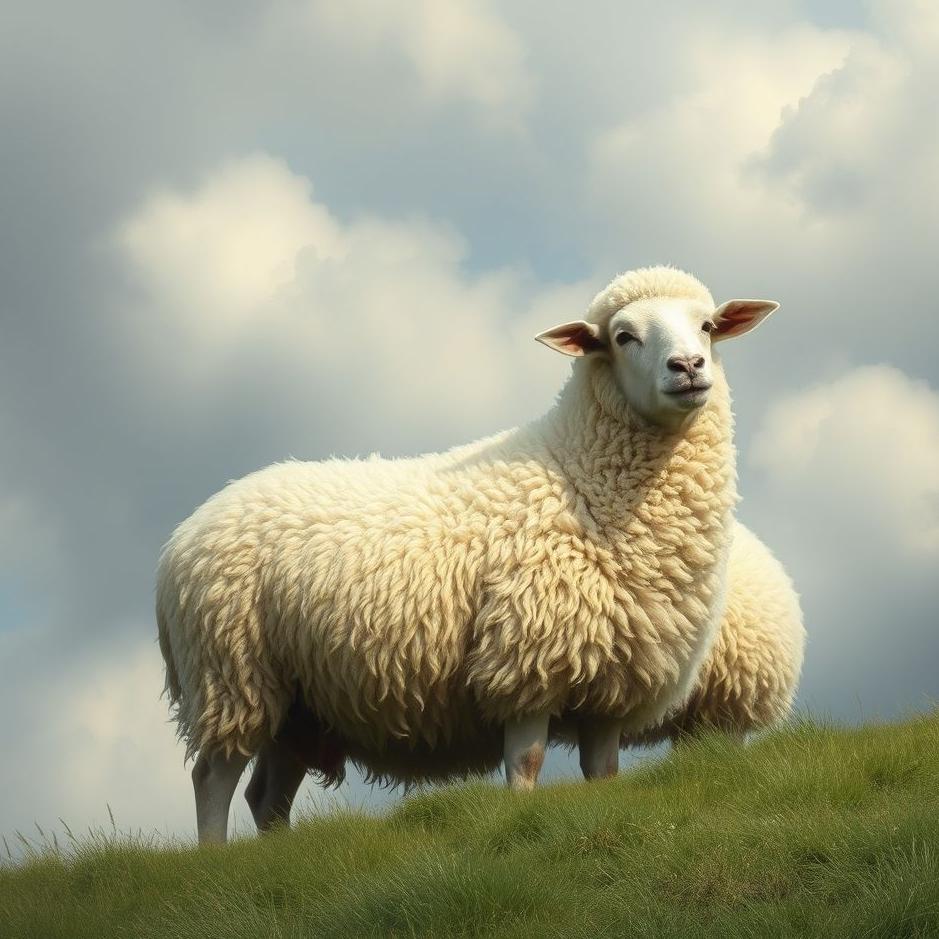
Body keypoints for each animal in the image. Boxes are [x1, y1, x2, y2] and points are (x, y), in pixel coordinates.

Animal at [157, 265, 781, 843]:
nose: (688, 367)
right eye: (623, 336)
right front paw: (520, 822)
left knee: (266, 795)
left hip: (297, 702)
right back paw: (214, 857)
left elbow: (603, 776)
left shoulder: (609, 683)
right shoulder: (525, 659)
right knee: (213, 777)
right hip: (230, 670)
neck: (579, 475)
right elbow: (526, 764)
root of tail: (181, 537)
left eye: (707, 327)